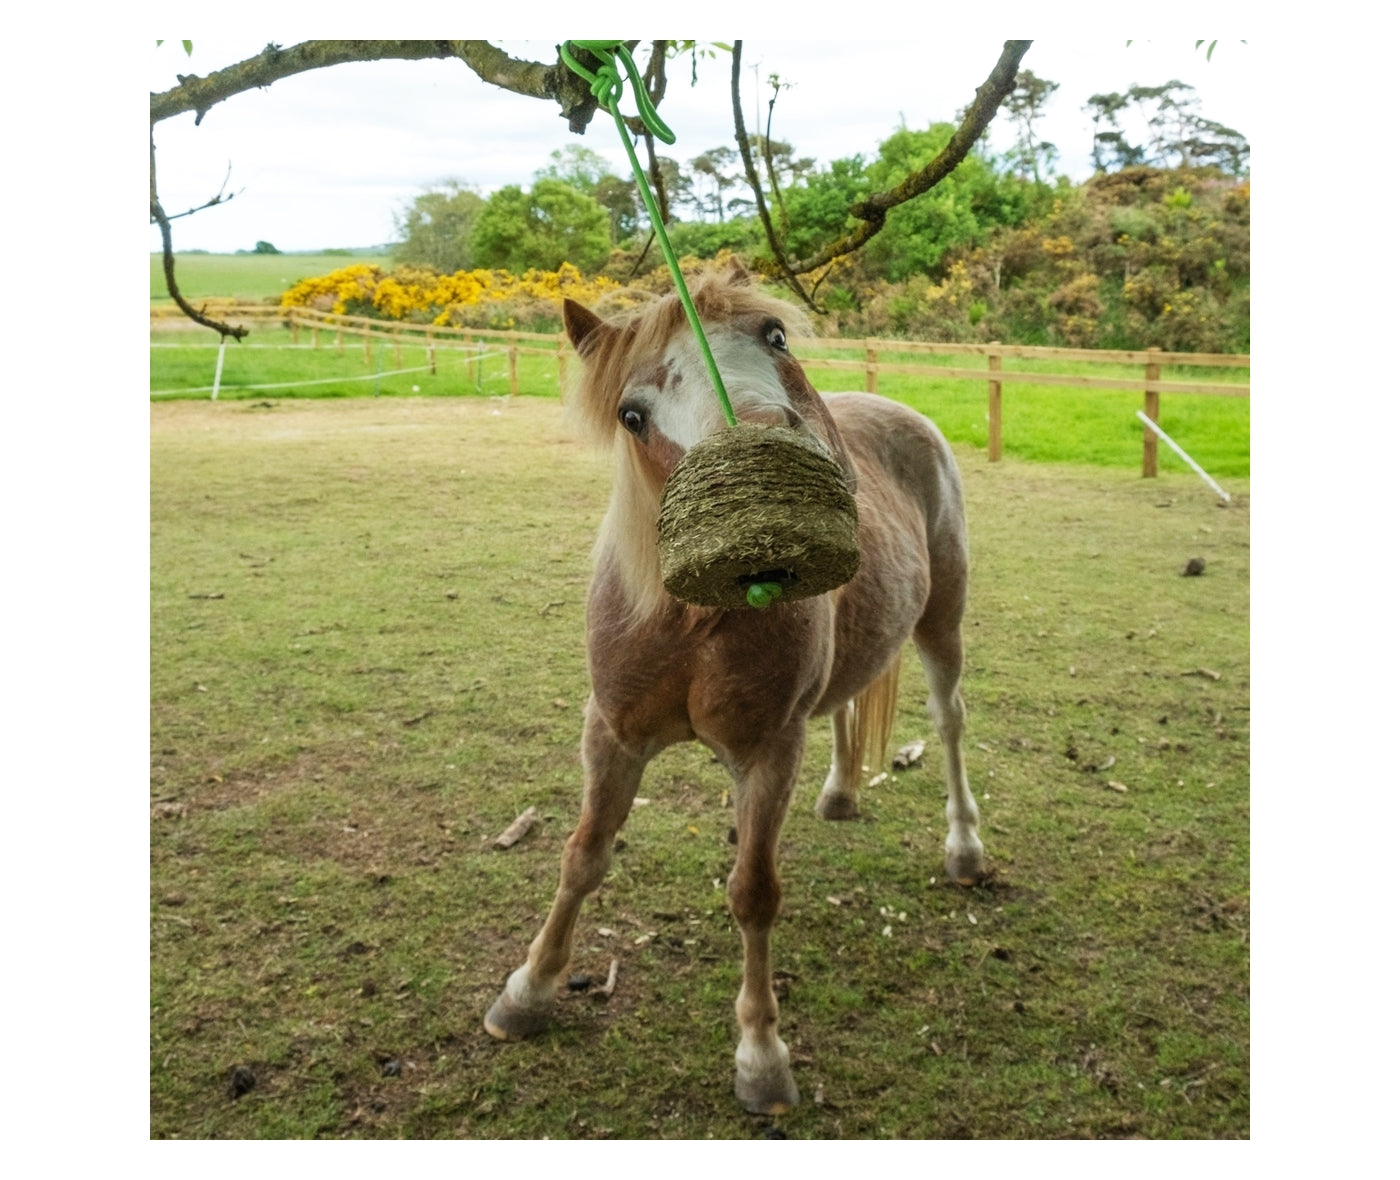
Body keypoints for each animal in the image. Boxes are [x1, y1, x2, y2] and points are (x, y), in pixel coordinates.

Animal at [484, 261, 986, 1114]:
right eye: (632, 414)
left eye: (774, 336)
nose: (775, 458)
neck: (692, 626)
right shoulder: (611, 733)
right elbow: (583, 857)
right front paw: (528, 991)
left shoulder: (765, 752)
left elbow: (753, 892)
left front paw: (761, 1056)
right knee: (845, 706)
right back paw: (841, 793)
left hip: (940, 624)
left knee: (949, 723)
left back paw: (965, 847)